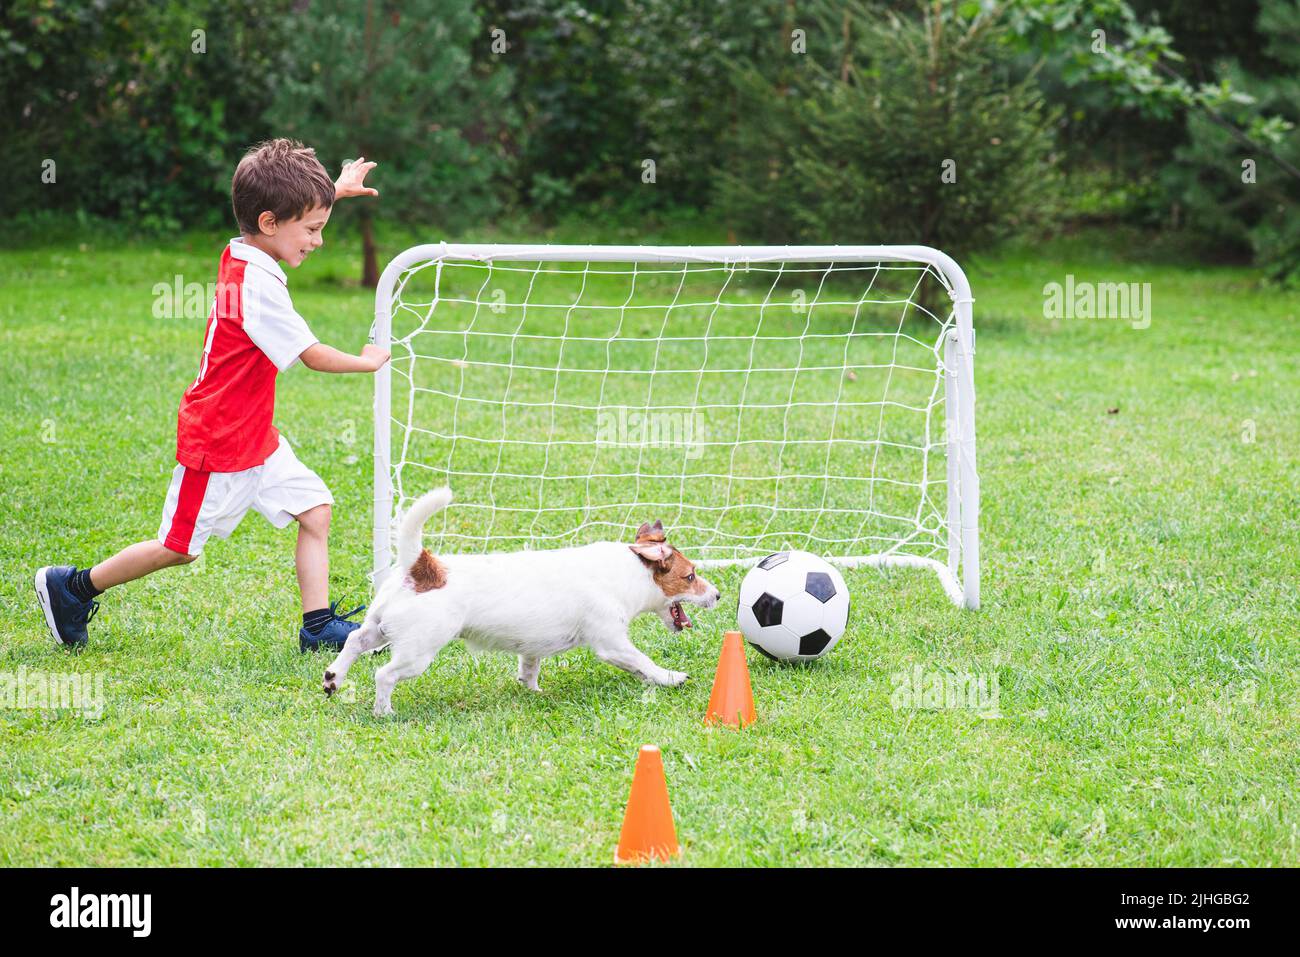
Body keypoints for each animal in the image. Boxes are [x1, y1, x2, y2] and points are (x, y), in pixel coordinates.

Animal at [318, 488, 717, 712]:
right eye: (691, 575)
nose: (718, 594)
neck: (627, 572)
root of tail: (425, 565)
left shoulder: (533, 647)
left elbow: (529, 667)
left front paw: (533, 690)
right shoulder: (612, 643)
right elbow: (643, 663)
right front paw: (671, 678)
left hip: (380, 626)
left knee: (356, 640)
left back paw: (334, 678)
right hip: (418, 651)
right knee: (384, 674)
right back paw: (383, 711)